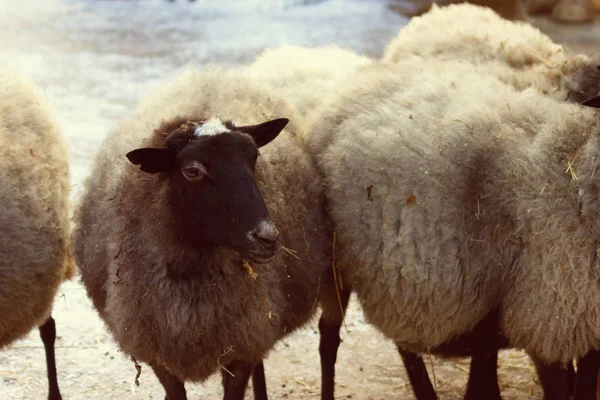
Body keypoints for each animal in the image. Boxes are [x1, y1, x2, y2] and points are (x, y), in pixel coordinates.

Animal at [74, 68, 332, 400]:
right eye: (192, 171)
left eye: (254, 157)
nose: (267, 237)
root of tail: (212, 77)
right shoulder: (156, 351)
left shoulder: (242, 346)